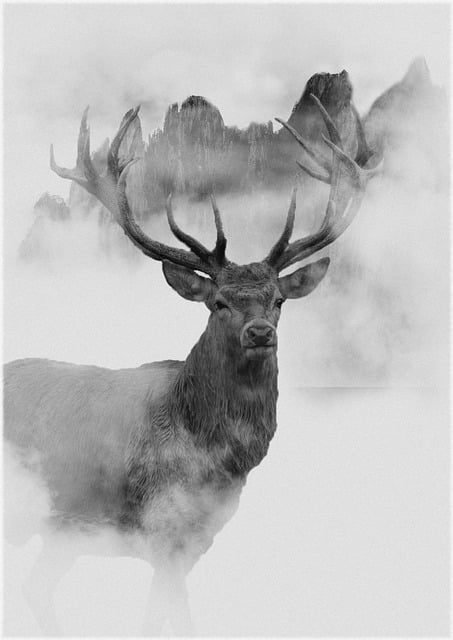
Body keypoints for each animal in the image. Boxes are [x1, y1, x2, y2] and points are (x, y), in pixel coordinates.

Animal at [4, 94, 378, 636]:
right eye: (218, 302)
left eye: (279, 301)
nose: (259, 332)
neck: (214, 459)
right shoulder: (162, 526)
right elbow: (166, 618)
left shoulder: (197, 538)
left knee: (36, 586)